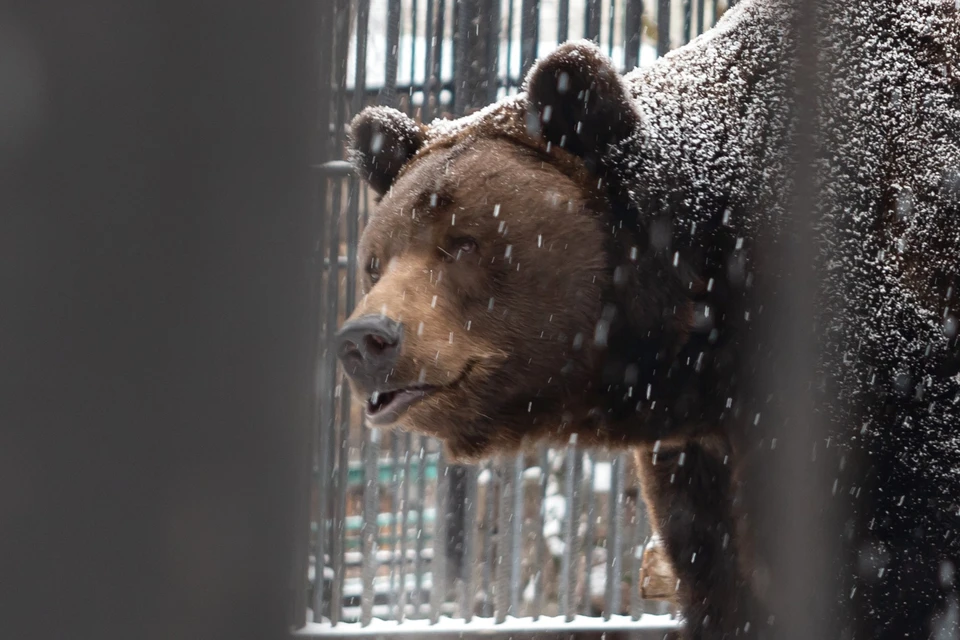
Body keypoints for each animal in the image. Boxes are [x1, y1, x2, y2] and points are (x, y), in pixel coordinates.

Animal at [338, 0, 960, 636]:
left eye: (463, 244)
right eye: (375, 260)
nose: (367, 339)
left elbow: (888, 564)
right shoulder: (703, 455)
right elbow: (720, 576)